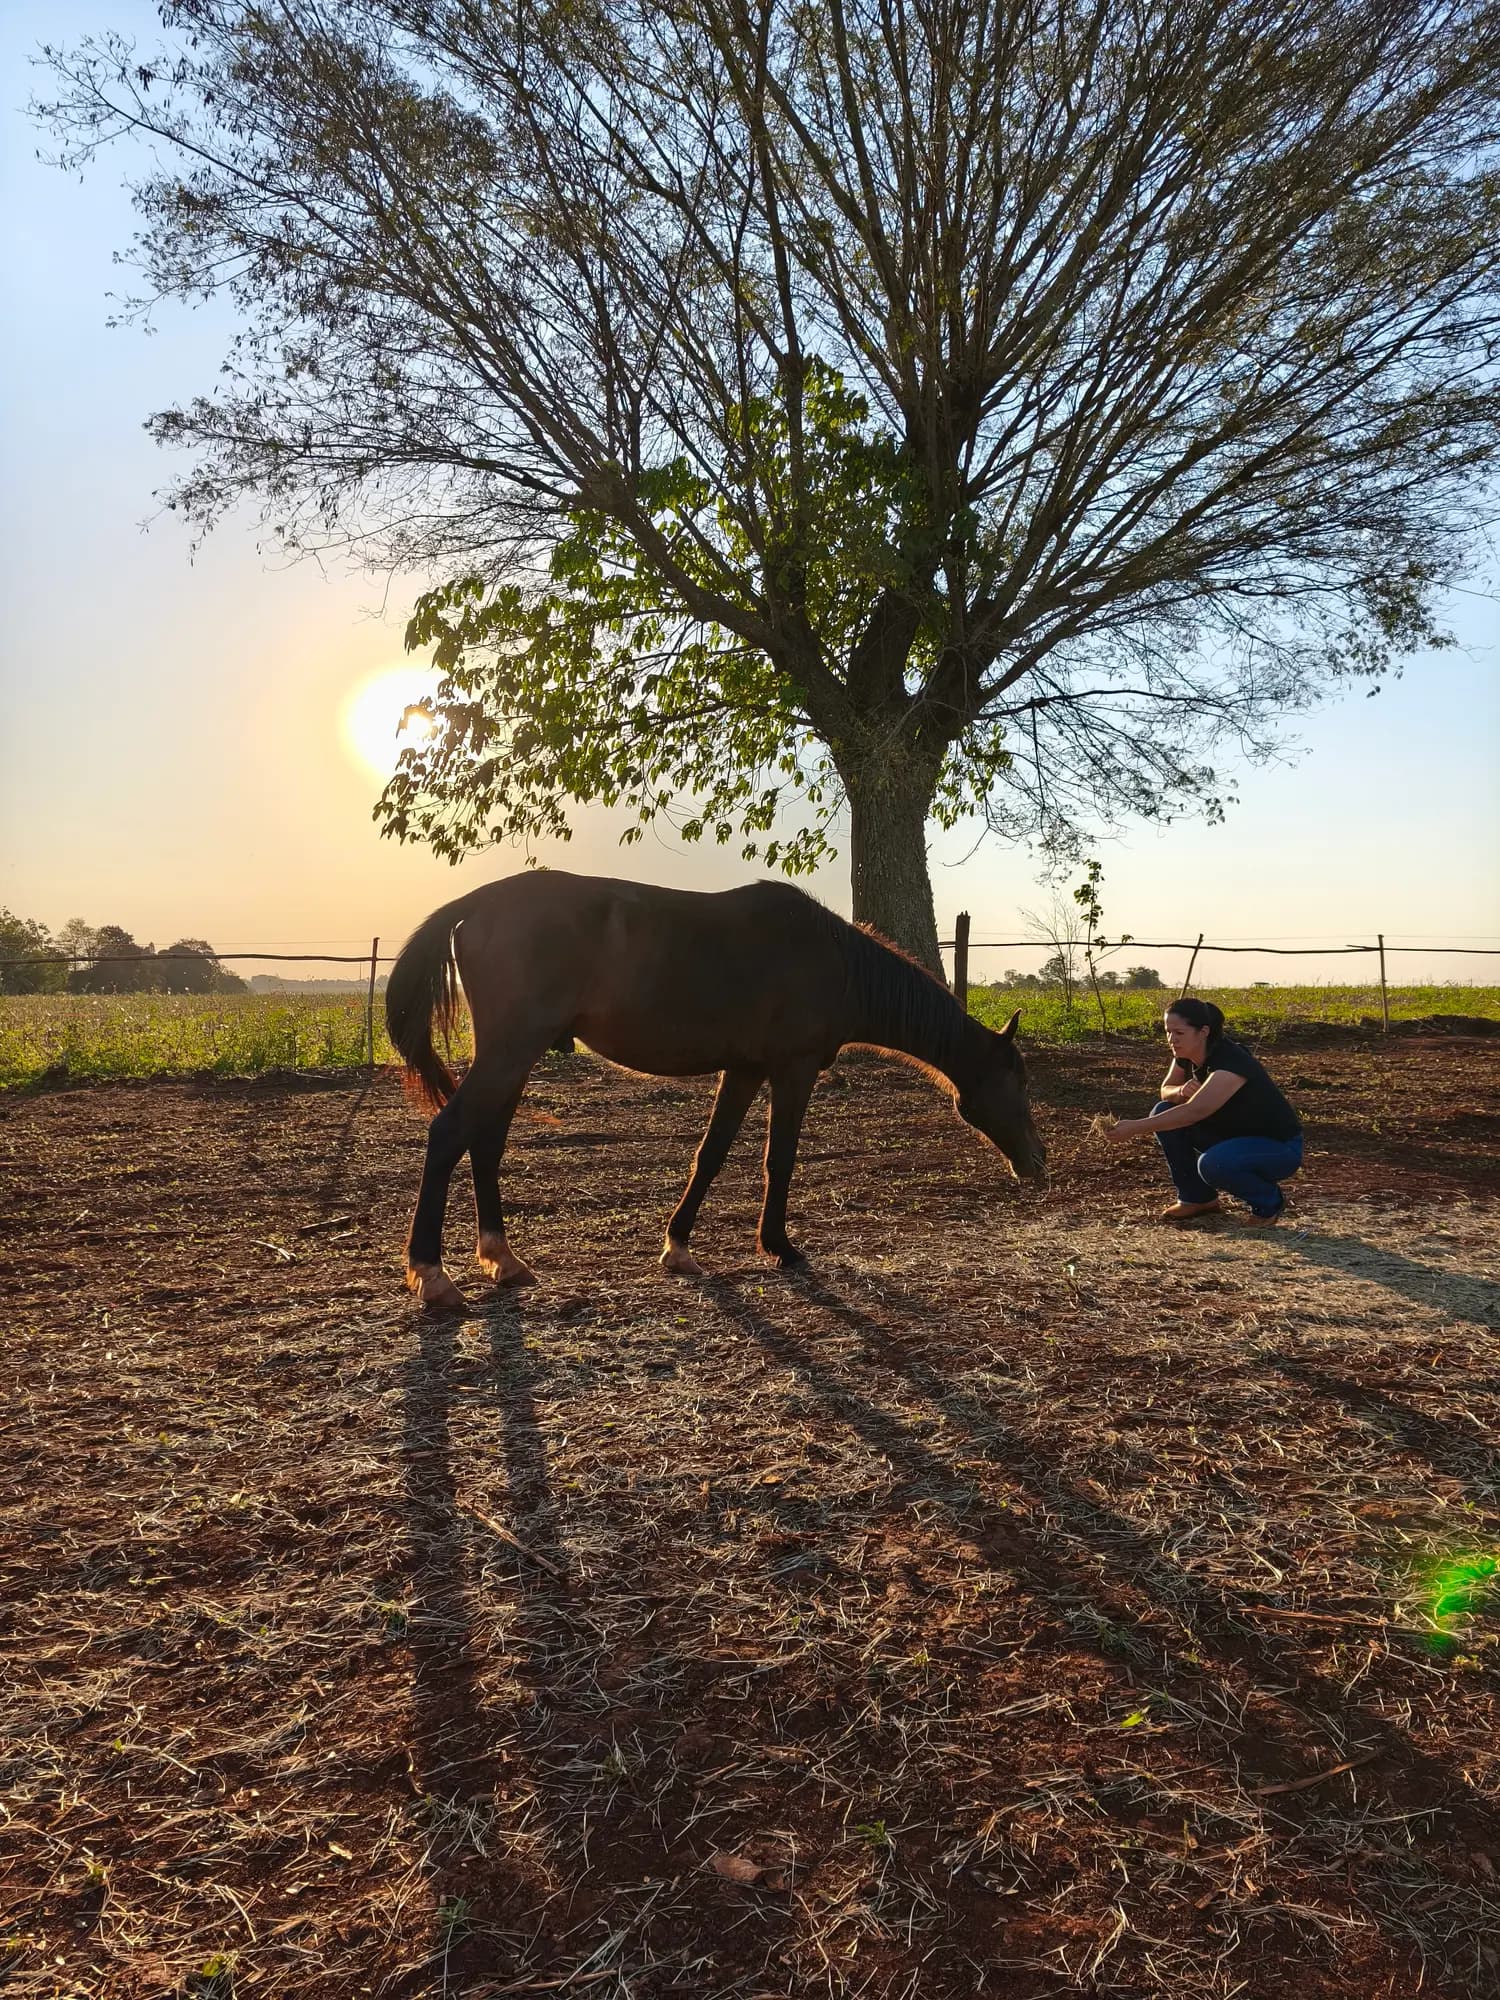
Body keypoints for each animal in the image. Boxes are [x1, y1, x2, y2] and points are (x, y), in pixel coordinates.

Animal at [385, 871, 1046, 1308]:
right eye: (1018, 1080)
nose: (1038, 1163)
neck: (833, 960)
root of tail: (478, 901)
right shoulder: (793, 1070)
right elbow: (780, 1159)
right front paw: (779, 1246)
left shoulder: (745, 1070)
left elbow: (712, 1153)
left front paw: (678, 1247)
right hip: (509, 1052)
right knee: (449, 1134)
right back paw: (432, 1275)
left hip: (512, 1058)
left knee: (485, 1143)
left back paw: (503, 1258)